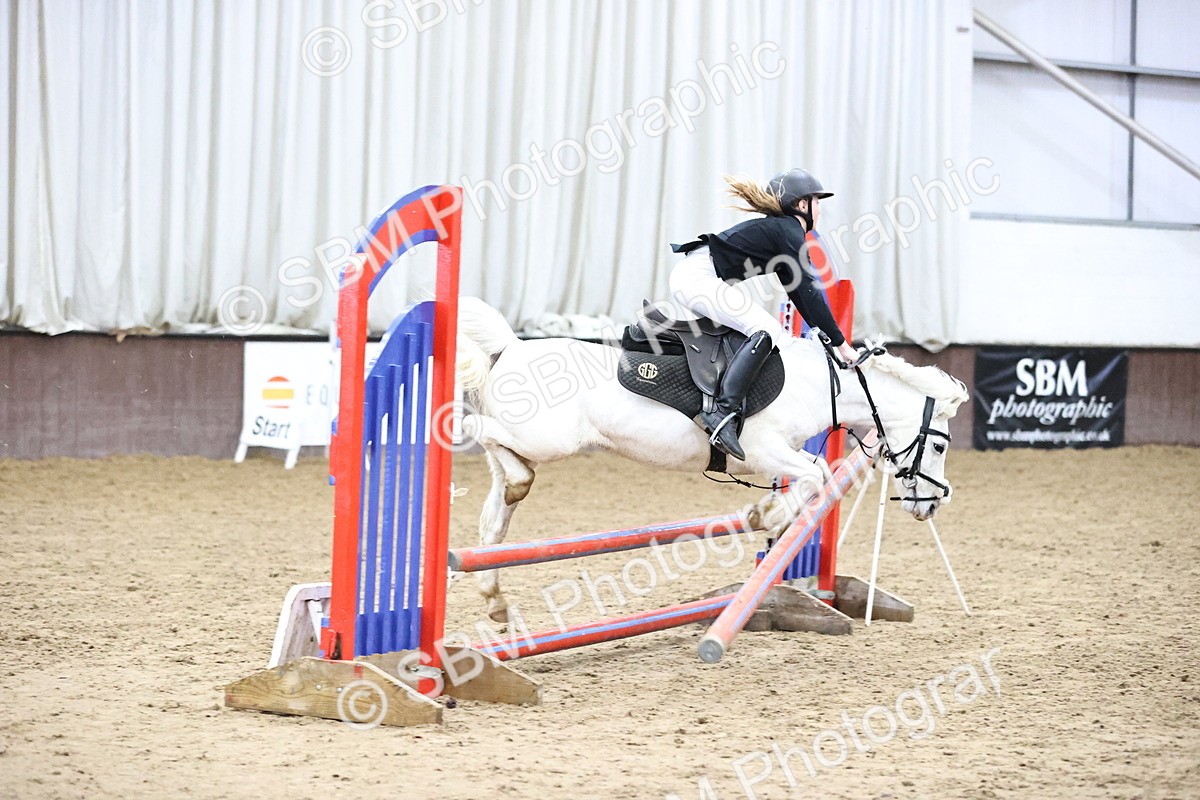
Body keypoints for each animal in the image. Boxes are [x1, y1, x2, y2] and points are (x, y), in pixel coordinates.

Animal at [454, 297, 970, 622]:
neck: (820, 383)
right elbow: (816, 474)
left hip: (529, 449)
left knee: (495, 516)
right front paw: (766, 515)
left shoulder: (772, 457)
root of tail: (512, 347)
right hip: (546, 438)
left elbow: (812, 478)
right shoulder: (763, 450)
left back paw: (495, 597)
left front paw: (773, 520)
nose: (932, 504)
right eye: (940, 446)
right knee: (477, 432)